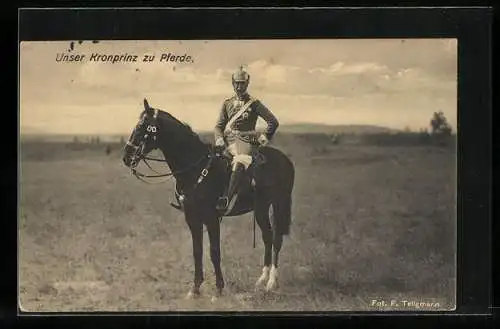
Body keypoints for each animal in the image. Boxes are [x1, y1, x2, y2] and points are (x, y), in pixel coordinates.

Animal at [121, 98, 294, 298]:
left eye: (142, 126)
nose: (126, 156)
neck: (196, 168)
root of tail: (286, 160)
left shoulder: (211, 219)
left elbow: (214, 251)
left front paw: (218, 288)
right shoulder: (192, 219)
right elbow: (197, 251)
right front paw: (195, 289)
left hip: (279, 204)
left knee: (276, 239)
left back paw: (272, 282)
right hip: (261, 208)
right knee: (267, 236)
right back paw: (262, 279)